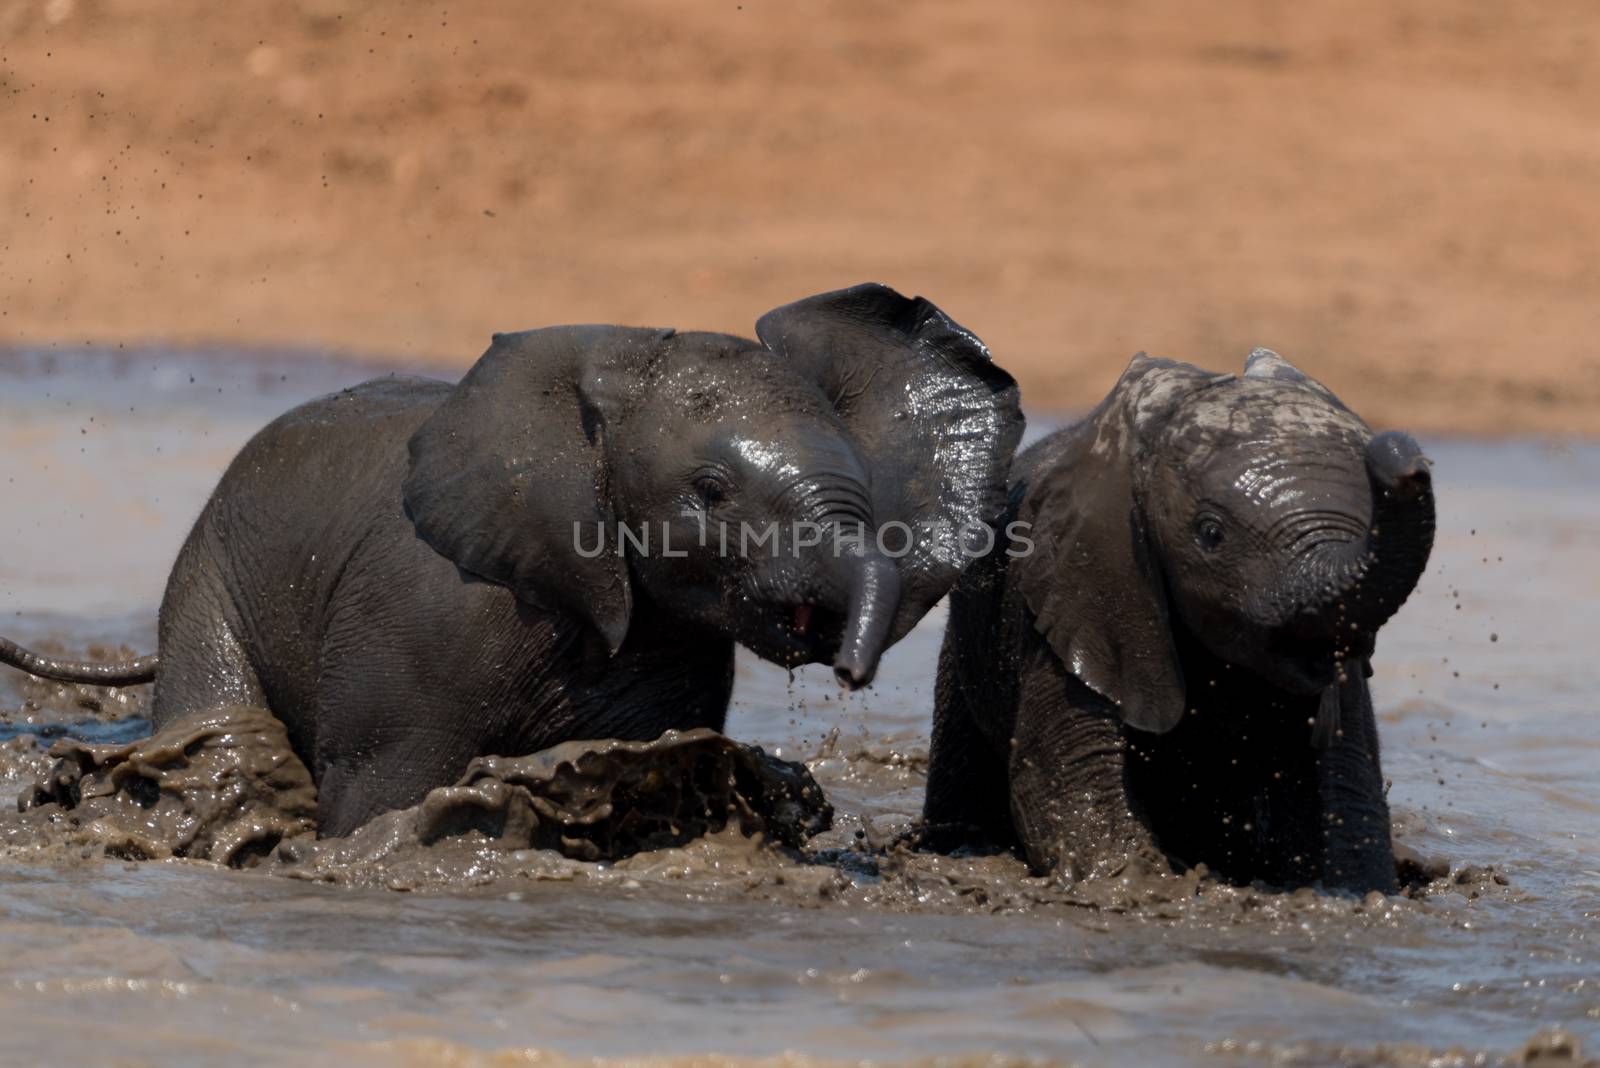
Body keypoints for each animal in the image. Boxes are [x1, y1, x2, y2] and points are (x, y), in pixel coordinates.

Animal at [928, 350, 1440, 895]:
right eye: (1210, 534)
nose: (1405, 456)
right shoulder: (1075, 589)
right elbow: (1065, 782)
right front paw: (1151, 886)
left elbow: (1347, 799)